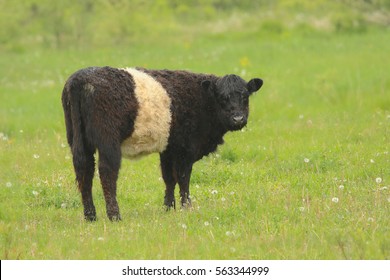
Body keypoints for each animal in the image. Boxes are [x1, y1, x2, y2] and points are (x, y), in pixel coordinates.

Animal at [61, 67, 262, 221]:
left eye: (245, 96)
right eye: (222, 97)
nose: (238, 119)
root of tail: (80, 79)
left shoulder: (169, 148)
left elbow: (169, 177)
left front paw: (168, 208)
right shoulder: (185, 149)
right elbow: (183, 177)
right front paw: (186, 207)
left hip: (77, 139)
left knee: (84, 170)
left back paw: (90, 216)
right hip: (108, 142)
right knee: (106, 173)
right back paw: (114, 215)